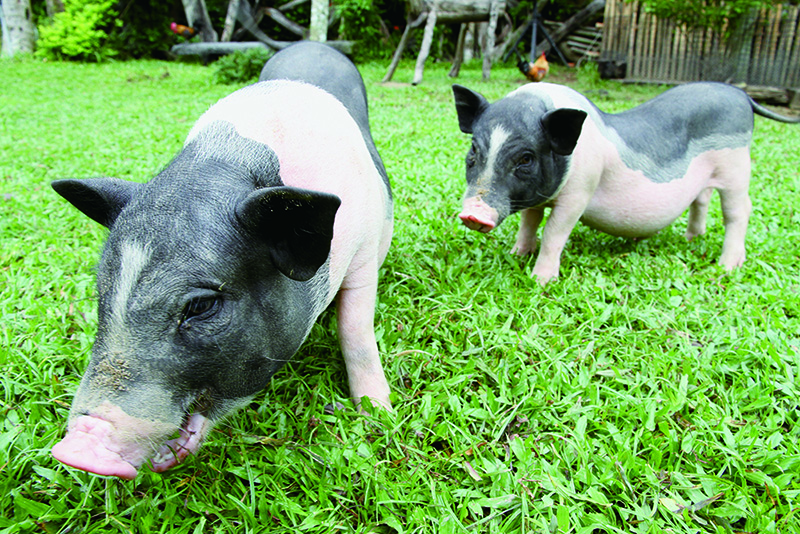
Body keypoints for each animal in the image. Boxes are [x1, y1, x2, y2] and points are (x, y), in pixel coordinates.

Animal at [50, 43, 394, 482]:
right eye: (103, 295)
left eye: (201, 305)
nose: (75, 451)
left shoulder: (365, 254)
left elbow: (355, 332)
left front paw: (377, 414)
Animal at [454, 82, 796, 284]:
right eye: (474, 149)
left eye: (525, 158)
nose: (473, 213)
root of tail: (740, 94)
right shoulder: (536, 197)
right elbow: (529, 223)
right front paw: (517, 255)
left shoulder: (580, 192)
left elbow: (553, 232)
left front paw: (540, 281)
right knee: (701, 200)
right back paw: (692, 240)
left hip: (736, 168)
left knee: (738, 211)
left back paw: (727, 267)